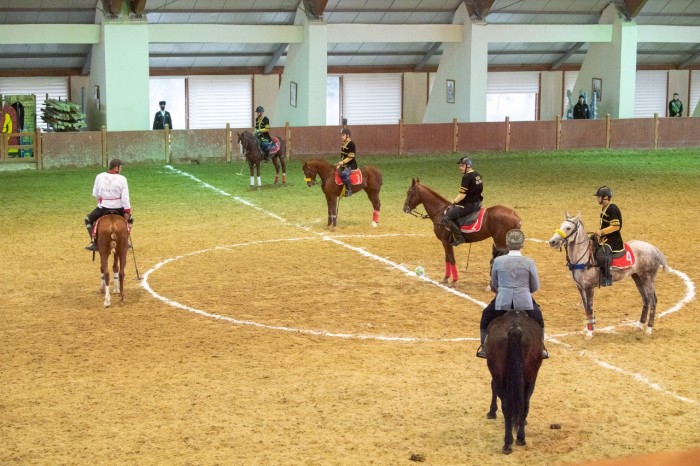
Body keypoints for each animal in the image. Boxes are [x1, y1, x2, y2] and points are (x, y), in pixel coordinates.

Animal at [484, 312, 544, 454]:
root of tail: (515, 329)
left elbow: (493, 387)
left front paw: (492, 412)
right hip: (530, 375)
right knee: (524, 403)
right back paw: (520, 438)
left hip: (500, 373)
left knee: (507, 405)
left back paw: (508, 442)